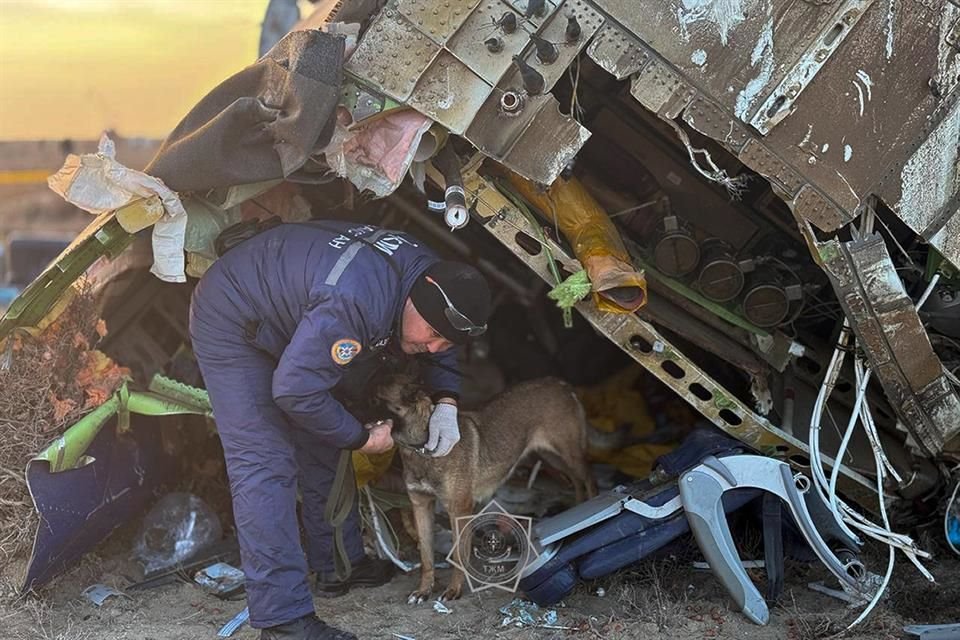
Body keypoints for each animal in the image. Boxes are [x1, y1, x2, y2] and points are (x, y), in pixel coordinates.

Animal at [374, 372, 592, 604]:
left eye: (374, 399)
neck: (423, 447)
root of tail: (560, 383)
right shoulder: (421, 506)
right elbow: (426, 557)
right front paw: (423, 590)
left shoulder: (459, 509)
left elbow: (459, 554)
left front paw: (454, 590)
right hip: (551, 456)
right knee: (576, 480)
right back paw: (579, 507)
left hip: (569, 454)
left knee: (589, 479)